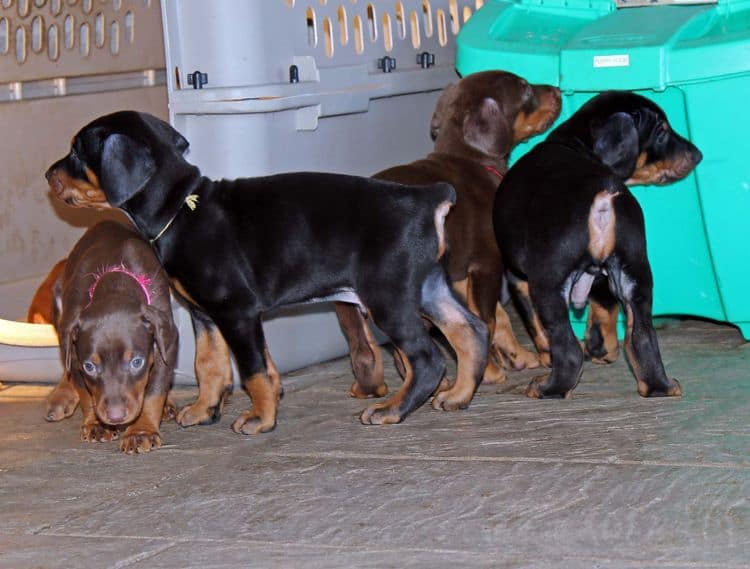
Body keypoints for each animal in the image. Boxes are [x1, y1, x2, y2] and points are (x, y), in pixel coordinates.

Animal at [50, 221, 178, 452]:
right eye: (90, 367)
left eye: (137, 362)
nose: (116, 416)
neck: (115, 282)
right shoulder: (74, 352)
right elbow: (85, 391)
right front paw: (95, 423)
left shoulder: (167, 341)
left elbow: (155, 389)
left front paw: (141, 431)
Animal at [338, 71, 560, 404]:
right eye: (524, 88)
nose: (557, 90)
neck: (471, 159)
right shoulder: (486, 264)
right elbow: (486, 320)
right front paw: (491, 371)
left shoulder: (461, 275)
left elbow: (498, 317)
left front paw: (518, 356)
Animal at [496, 90, 704, 400]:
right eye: (662, 132)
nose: (697, 154)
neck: (573, 143)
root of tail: (603, 194)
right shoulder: (606, 277)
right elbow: (604, 308)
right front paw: (602, 349)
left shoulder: (518, 277)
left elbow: (538, 327)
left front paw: (549, 356)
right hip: (635, 274)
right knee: (642, 338)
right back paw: (660, 386)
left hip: (547, 284)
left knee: (568, 350)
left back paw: (547, 388)